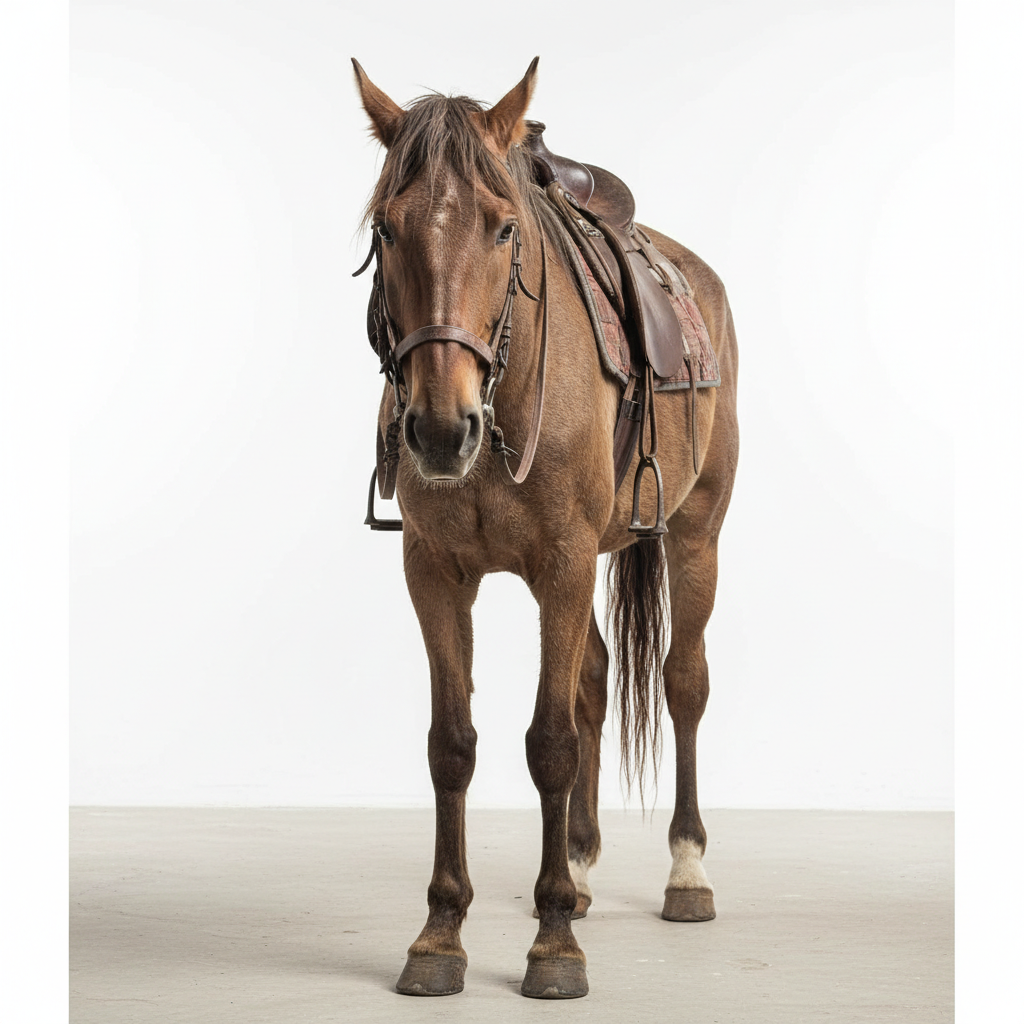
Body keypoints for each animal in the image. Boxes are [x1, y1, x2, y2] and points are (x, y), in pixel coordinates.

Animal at [351, 57, 739, 1000]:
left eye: (501, 230)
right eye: (387, 226)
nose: (440, 429)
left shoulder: (561, 565)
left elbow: (551, 742)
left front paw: (553, 946)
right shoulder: (435, 572)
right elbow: (452, 745)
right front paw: (440, 936)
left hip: (696, 535)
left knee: (683, 683)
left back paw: (686, 872)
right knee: (594, 679)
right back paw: (584, 869)